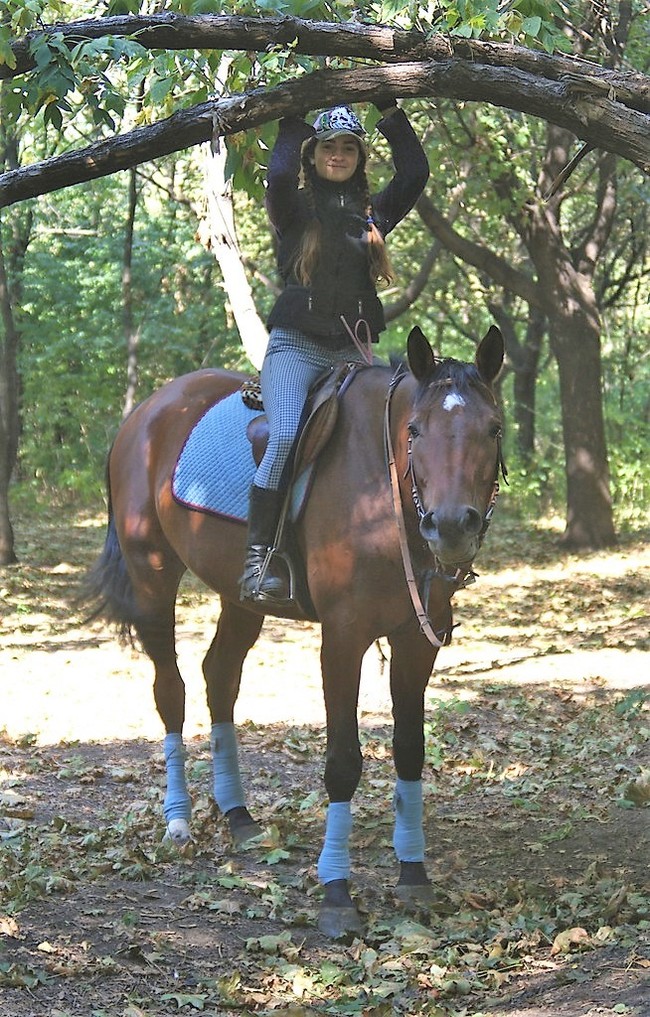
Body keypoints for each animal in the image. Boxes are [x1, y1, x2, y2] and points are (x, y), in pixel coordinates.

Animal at [82, 323, 508, 935]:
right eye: (415, 429)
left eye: (492, 429)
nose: (451, 527)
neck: (383, 489)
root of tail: (148, 411)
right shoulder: (343, 639)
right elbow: (343, 762)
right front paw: (336, 892)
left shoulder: (415, 641)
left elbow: (409, 749)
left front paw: (413, 873)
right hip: (152, 578)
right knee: (172, 690)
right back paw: (179, 820)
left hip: (239, 597)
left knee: (220, 677)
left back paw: (238, 815)